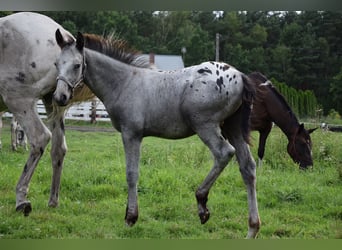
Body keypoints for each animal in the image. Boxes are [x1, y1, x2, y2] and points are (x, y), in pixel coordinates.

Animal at [0, 11, 94, 215]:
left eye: (77, 65)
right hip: (54, 104)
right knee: (59, 148)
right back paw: (53, 200)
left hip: (19, 100)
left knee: (40, 137)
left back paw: (21, 198)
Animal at [54, 30, 260, 238]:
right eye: (56, 64)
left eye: (77, 65)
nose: (59, 97)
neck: (124, 82)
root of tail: (240, 75)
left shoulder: (131, 134)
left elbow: (131, 174)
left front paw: (131, 217)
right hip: (232, 128)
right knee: (247, 167)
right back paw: (252, 227)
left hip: (205, 125)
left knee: (224, 153)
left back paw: (202, 203)